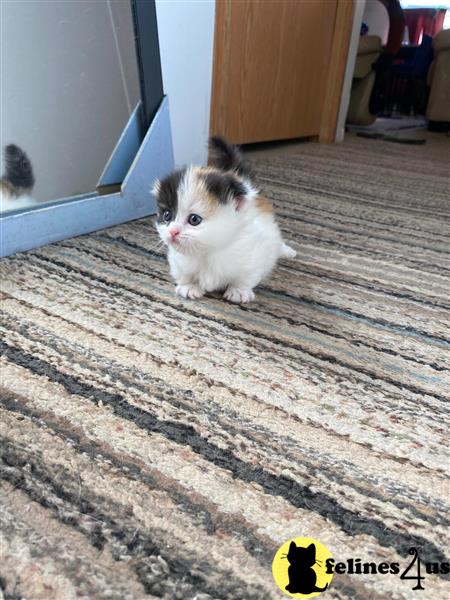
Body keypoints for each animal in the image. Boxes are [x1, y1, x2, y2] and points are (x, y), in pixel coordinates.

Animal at [153, 137, 298, 304]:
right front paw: (188, 287)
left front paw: (239, 292)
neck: (208, 251)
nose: (172, 232)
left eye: (194, 219)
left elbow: (246, 277)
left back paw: (287, 251)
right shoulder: (179, 262)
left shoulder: (253, 257)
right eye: (167, 216)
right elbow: (184, 275)